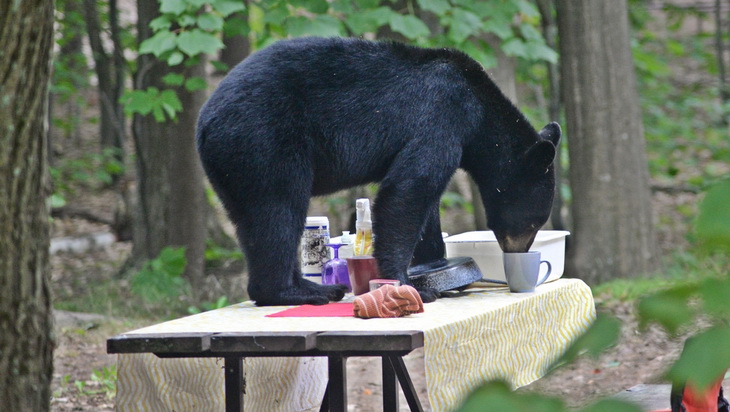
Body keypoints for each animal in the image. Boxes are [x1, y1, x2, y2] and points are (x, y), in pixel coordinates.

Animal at [196, 36, 560, 306]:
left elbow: (424, 203)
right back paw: (299, 292)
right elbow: (408, 190)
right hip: (263, 141)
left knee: (255, 222)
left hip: (235, 165)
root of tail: (204, 123)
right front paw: (409, 284)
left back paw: (309, 286)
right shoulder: (441, 116)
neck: (480, 112)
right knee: (279, 209)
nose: (518, 252)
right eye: (535, 222)